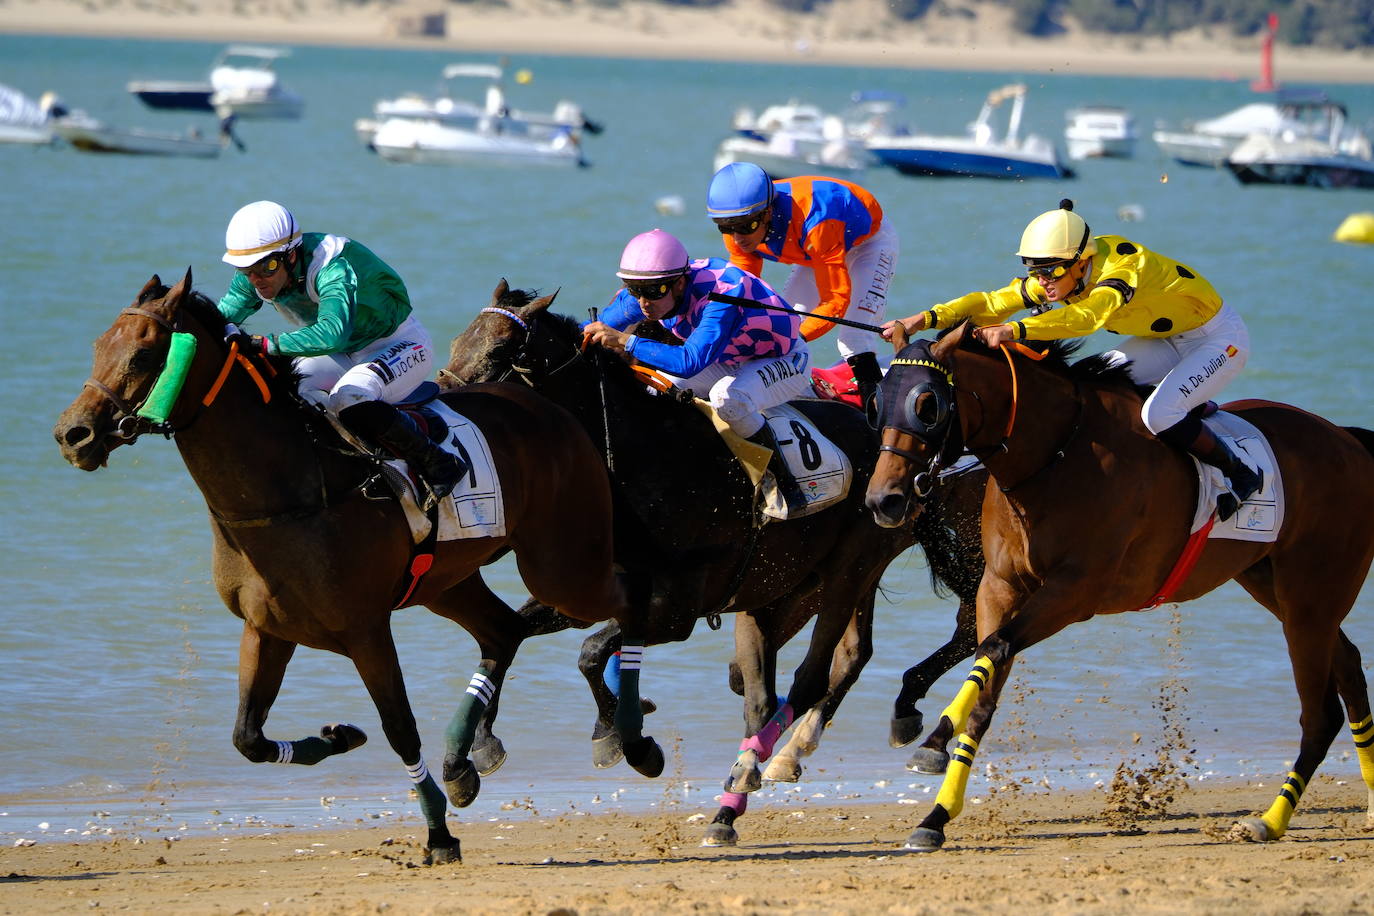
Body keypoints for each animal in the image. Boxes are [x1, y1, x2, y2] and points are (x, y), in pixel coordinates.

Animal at [53, 270, 654, 867]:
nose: (72, 434)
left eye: (143, 355)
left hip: (562, 566)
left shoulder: (365, 629)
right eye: (99, 346)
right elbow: (248, 737)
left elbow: (400, 729)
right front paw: (339, 737)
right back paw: (465, 760)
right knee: (504, 632)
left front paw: (438, 835)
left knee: (627, 600)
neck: (288, 494)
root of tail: (551, 408)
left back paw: (628, 734)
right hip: (447, 582)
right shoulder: (267, 628)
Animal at [442, 281, 989, 845]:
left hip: (850, 569)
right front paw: (476, 753)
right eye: (457, 342)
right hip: (785, 585)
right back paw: (746, 785)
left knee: (835, 665)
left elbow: (591, 652)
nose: (442, 409)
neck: (647, 457)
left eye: (499, 352)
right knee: (773, 685)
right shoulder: (587, 594)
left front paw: (630, 742)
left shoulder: (677, 608)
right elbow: (515, 635)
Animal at [862, 324, 1368, 851]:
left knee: (1320, 715)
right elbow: (984, 682)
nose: (883, 501)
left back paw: (1268, 820)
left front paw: (932, 742)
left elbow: (994, 649)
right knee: (1350, 670)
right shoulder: (999, 589)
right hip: (1279, 589)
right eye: (877, 403)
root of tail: (1348, 440)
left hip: (1311, 598)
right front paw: (936, 808)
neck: (1055, 455)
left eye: (927, 405)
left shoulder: (1074, 594)